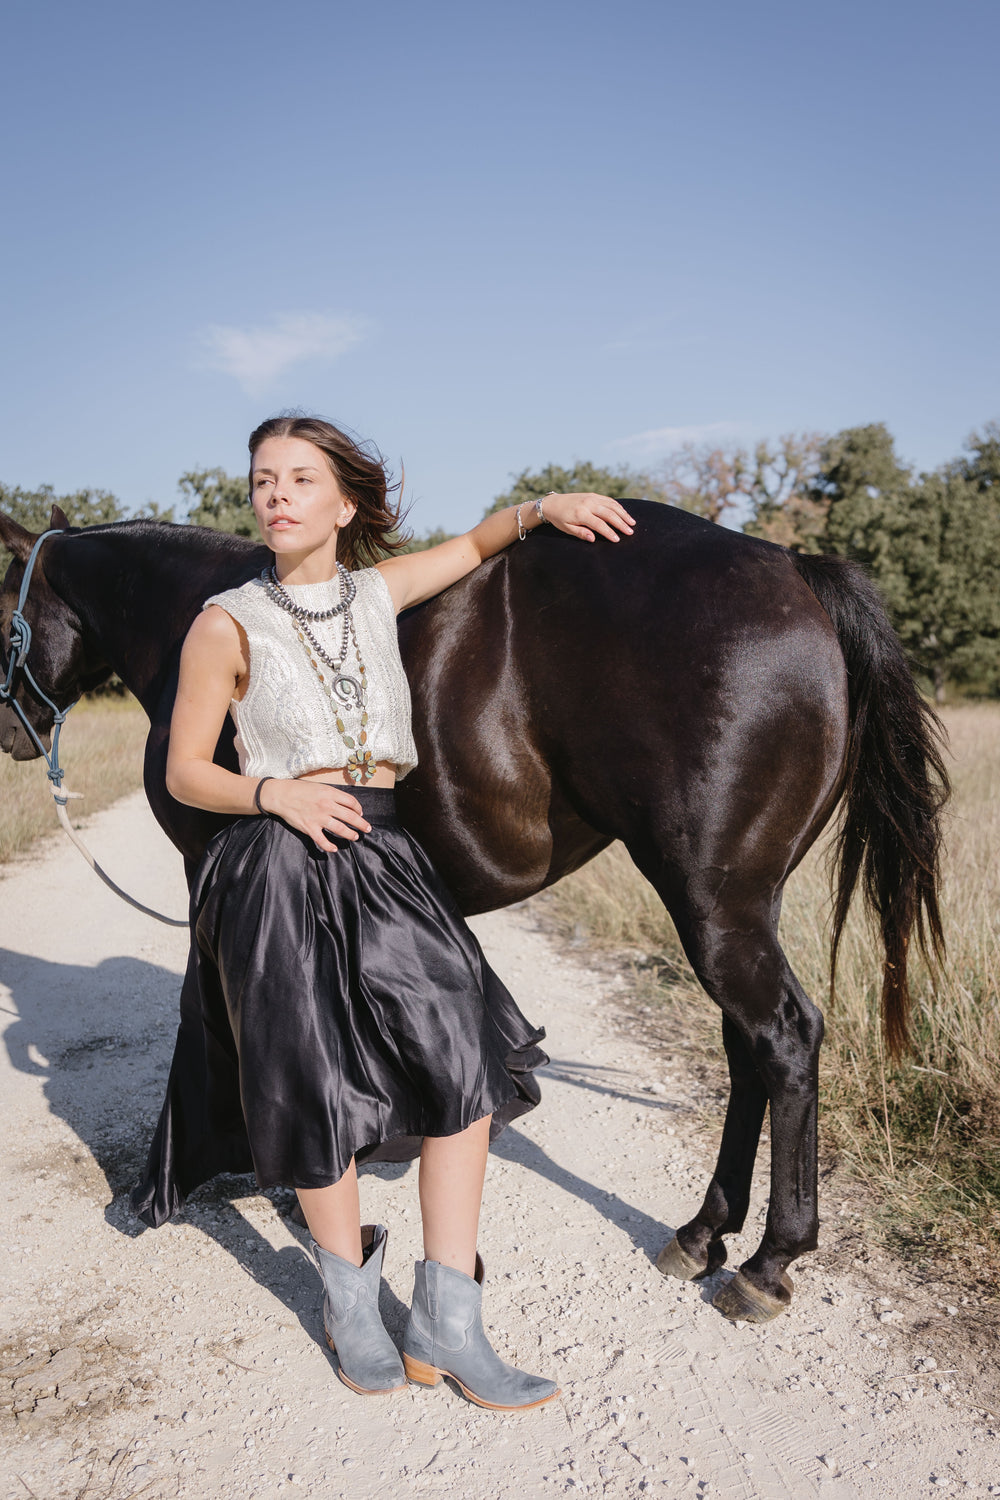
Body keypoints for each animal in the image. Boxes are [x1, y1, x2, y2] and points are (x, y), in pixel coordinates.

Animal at [0, 501, 953, 1326]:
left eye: (2, 597)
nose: (11, 733)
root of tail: (791, 567)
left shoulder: (209, 865)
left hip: (716, 902)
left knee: (783, 1038)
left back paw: (768, 1263)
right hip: (742, 904)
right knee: (746, 1048)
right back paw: (702, 1233)